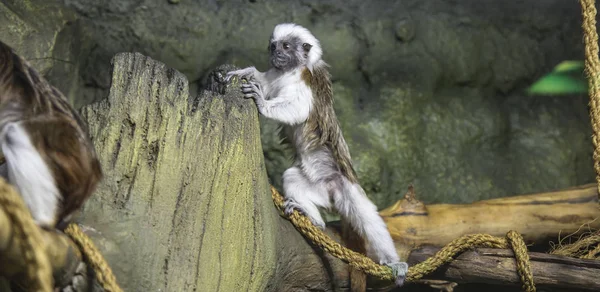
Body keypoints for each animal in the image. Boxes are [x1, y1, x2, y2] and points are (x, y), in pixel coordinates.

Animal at [227, 22, 410, 288]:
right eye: (274, 46)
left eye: (286, 46)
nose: (275, 53)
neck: (290, 71)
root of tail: (332, 190)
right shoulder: (275, 76)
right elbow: (263, 80)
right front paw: (245, 71)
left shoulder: (303, 82)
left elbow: (298, 109)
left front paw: (261, 103)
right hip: (319, 189)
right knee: (292, 177)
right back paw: (314, 220)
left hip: (348, 189)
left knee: (370, 220)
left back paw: (392, 262)